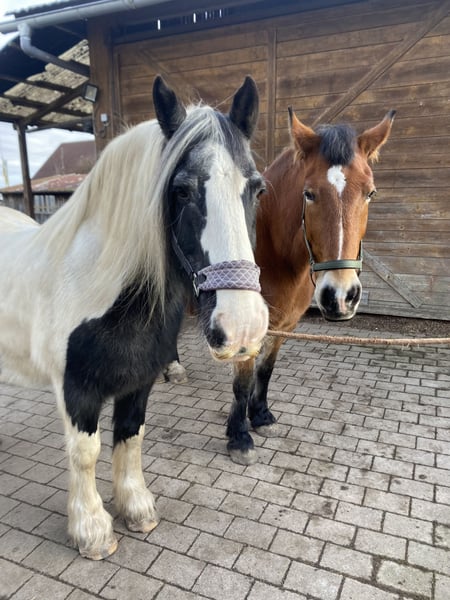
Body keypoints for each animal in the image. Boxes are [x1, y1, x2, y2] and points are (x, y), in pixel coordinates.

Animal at [0, 75, 268, 559]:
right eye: (181, 190)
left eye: (257, 189)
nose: (243, 326)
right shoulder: (76, 390)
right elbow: (85, 453)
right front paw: (92, 531)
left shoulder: (139, 382)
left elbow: (130, 437)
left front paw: (137, 509)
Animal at [225, 107, 396, 464]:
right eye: (309, 194)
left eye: (370, 193)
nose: (340, 296)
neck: (270, 252)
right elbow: (243, 380)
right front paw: (239, 437)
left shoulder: (286, 325)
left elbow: (265, 371)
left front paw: (260, 416)